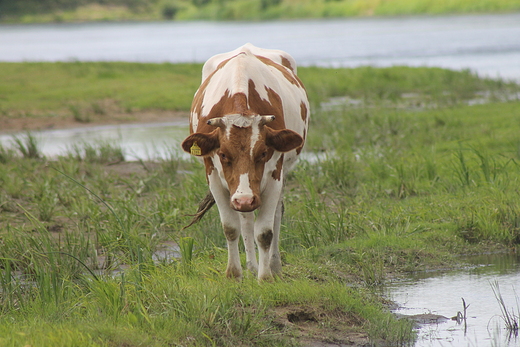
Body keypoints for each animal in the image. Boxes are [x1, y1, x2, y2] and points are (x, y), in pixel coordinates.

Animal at [181, 44, 308, 282]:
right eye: (222, 154)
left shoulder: (274, 176)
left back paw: (274, 266)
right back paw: (251, 266)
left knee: (276, 214)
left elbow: (265, 232)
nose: (245, 199)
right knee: (246, 220)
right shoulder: (214, 176)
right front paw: (234, 273)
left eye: (264, 152)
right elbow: (231, 227)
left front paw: (265, 277)